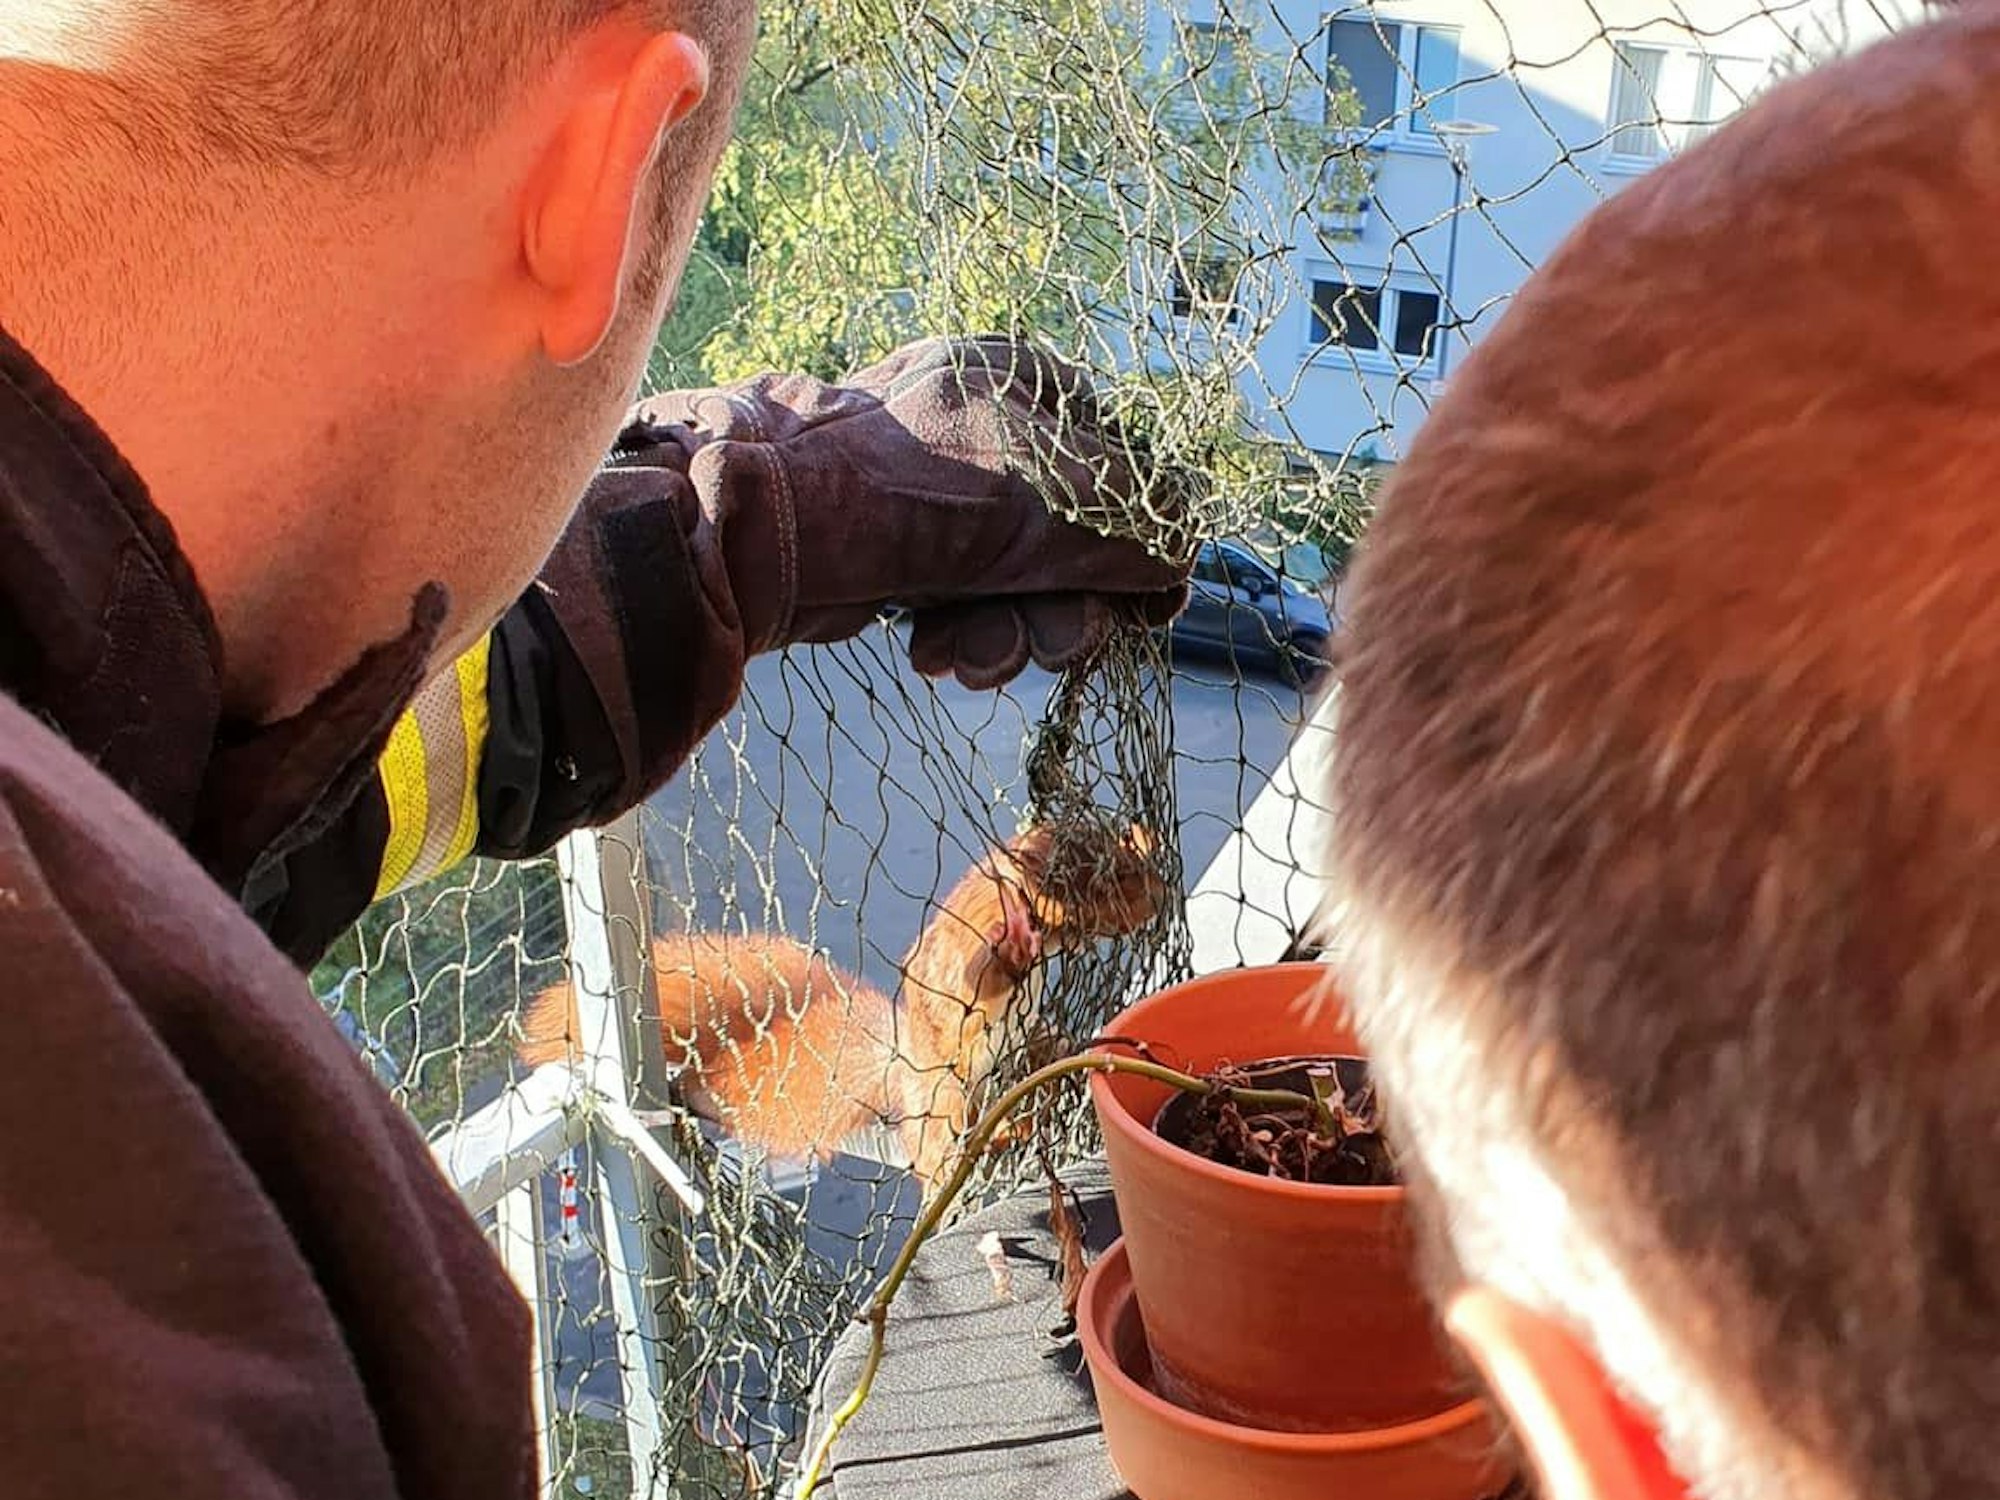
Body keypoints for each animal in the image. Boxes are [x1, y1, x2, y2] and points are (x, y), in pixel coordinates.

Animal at [517, 821, 1168, 1191]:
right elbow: (980, 979)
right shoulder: (966, 965)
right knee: (943, 1146)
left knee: (1037, 1053)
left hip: (1015, 1052)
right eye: (1110, 880)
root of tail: (899, 1072)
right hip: (945, 1094)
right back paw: (995, 1132)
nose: (1157, 896)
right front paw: (1015, 944)